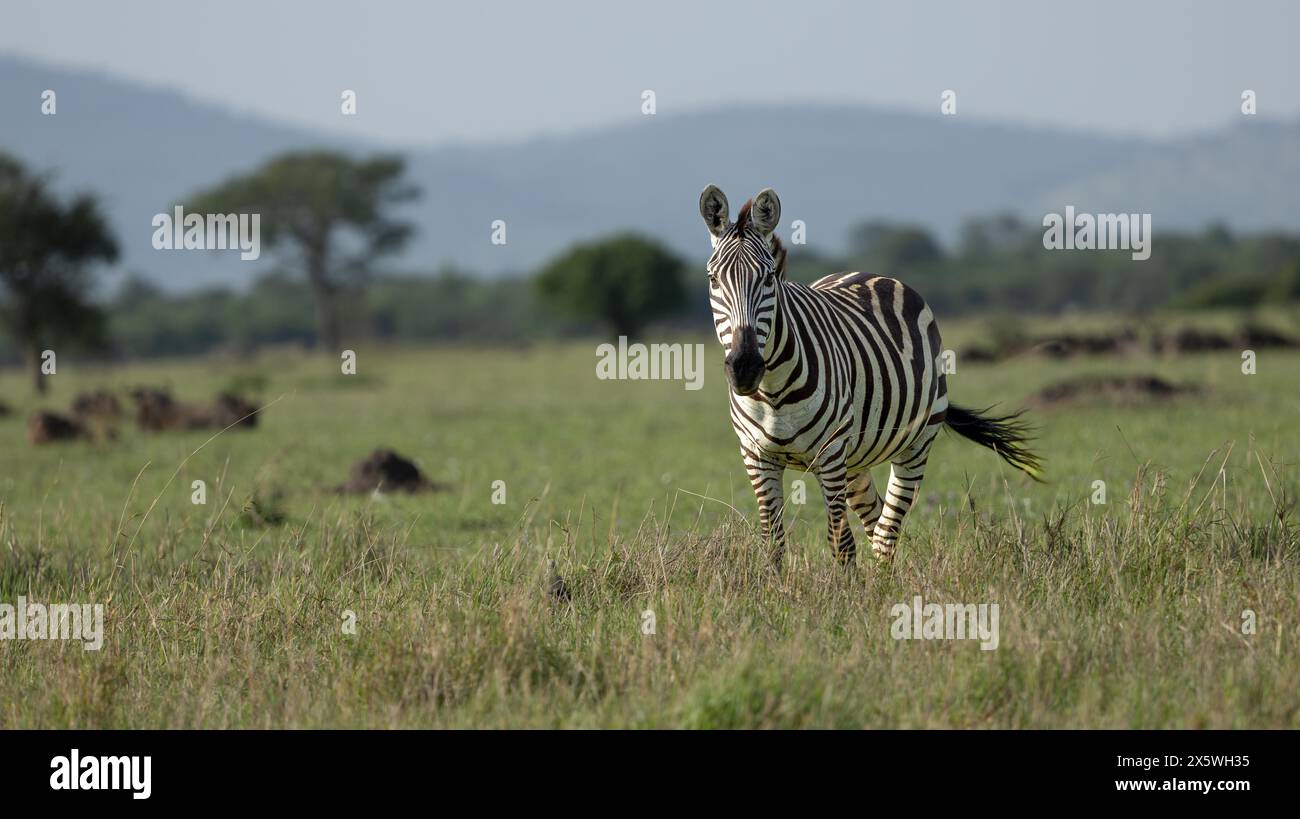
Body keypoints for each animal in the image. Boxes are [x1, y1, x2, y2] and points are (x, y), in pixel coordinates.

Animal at [696, 187, 1040, 566]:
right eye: (713, 279)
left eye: (769, 278)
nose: (744, 368)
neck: (772, 392)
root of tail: (872, 274)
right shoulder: (757, 457)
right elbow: (772, 544)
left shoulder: (830, 454)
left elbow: (840, 543)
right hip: (855, 461)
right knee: (876, 520)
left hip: (916, 443)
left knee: (887, 531)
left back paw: (882, 579)